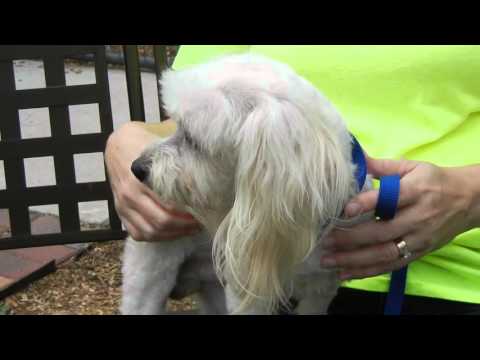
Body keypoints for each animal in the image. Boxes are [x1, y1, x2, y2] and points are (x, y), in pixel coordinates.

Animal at [120, 54, 368, 316]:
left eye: (192, 139)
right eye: (177, 124)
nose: (137, 168)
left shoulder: (320, 290)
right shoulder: (247, 296)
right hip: (148, 276)